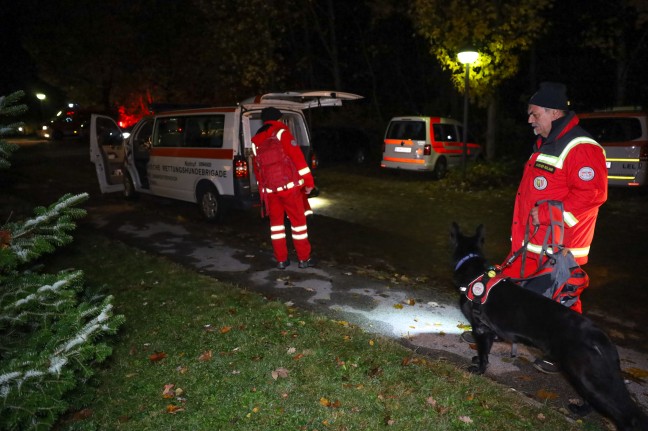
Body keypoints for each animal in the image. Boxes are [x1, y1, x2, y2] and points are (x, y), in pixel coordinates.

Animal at [450, 224, 648, 430]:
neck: (472, 264)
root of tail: (600, 336)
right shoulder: (488, 331)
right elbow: (486, 351)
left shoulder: (480, 328)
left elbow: (483, 354)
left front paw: (478, 370)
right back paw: (580, 410)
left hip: (586, 377)